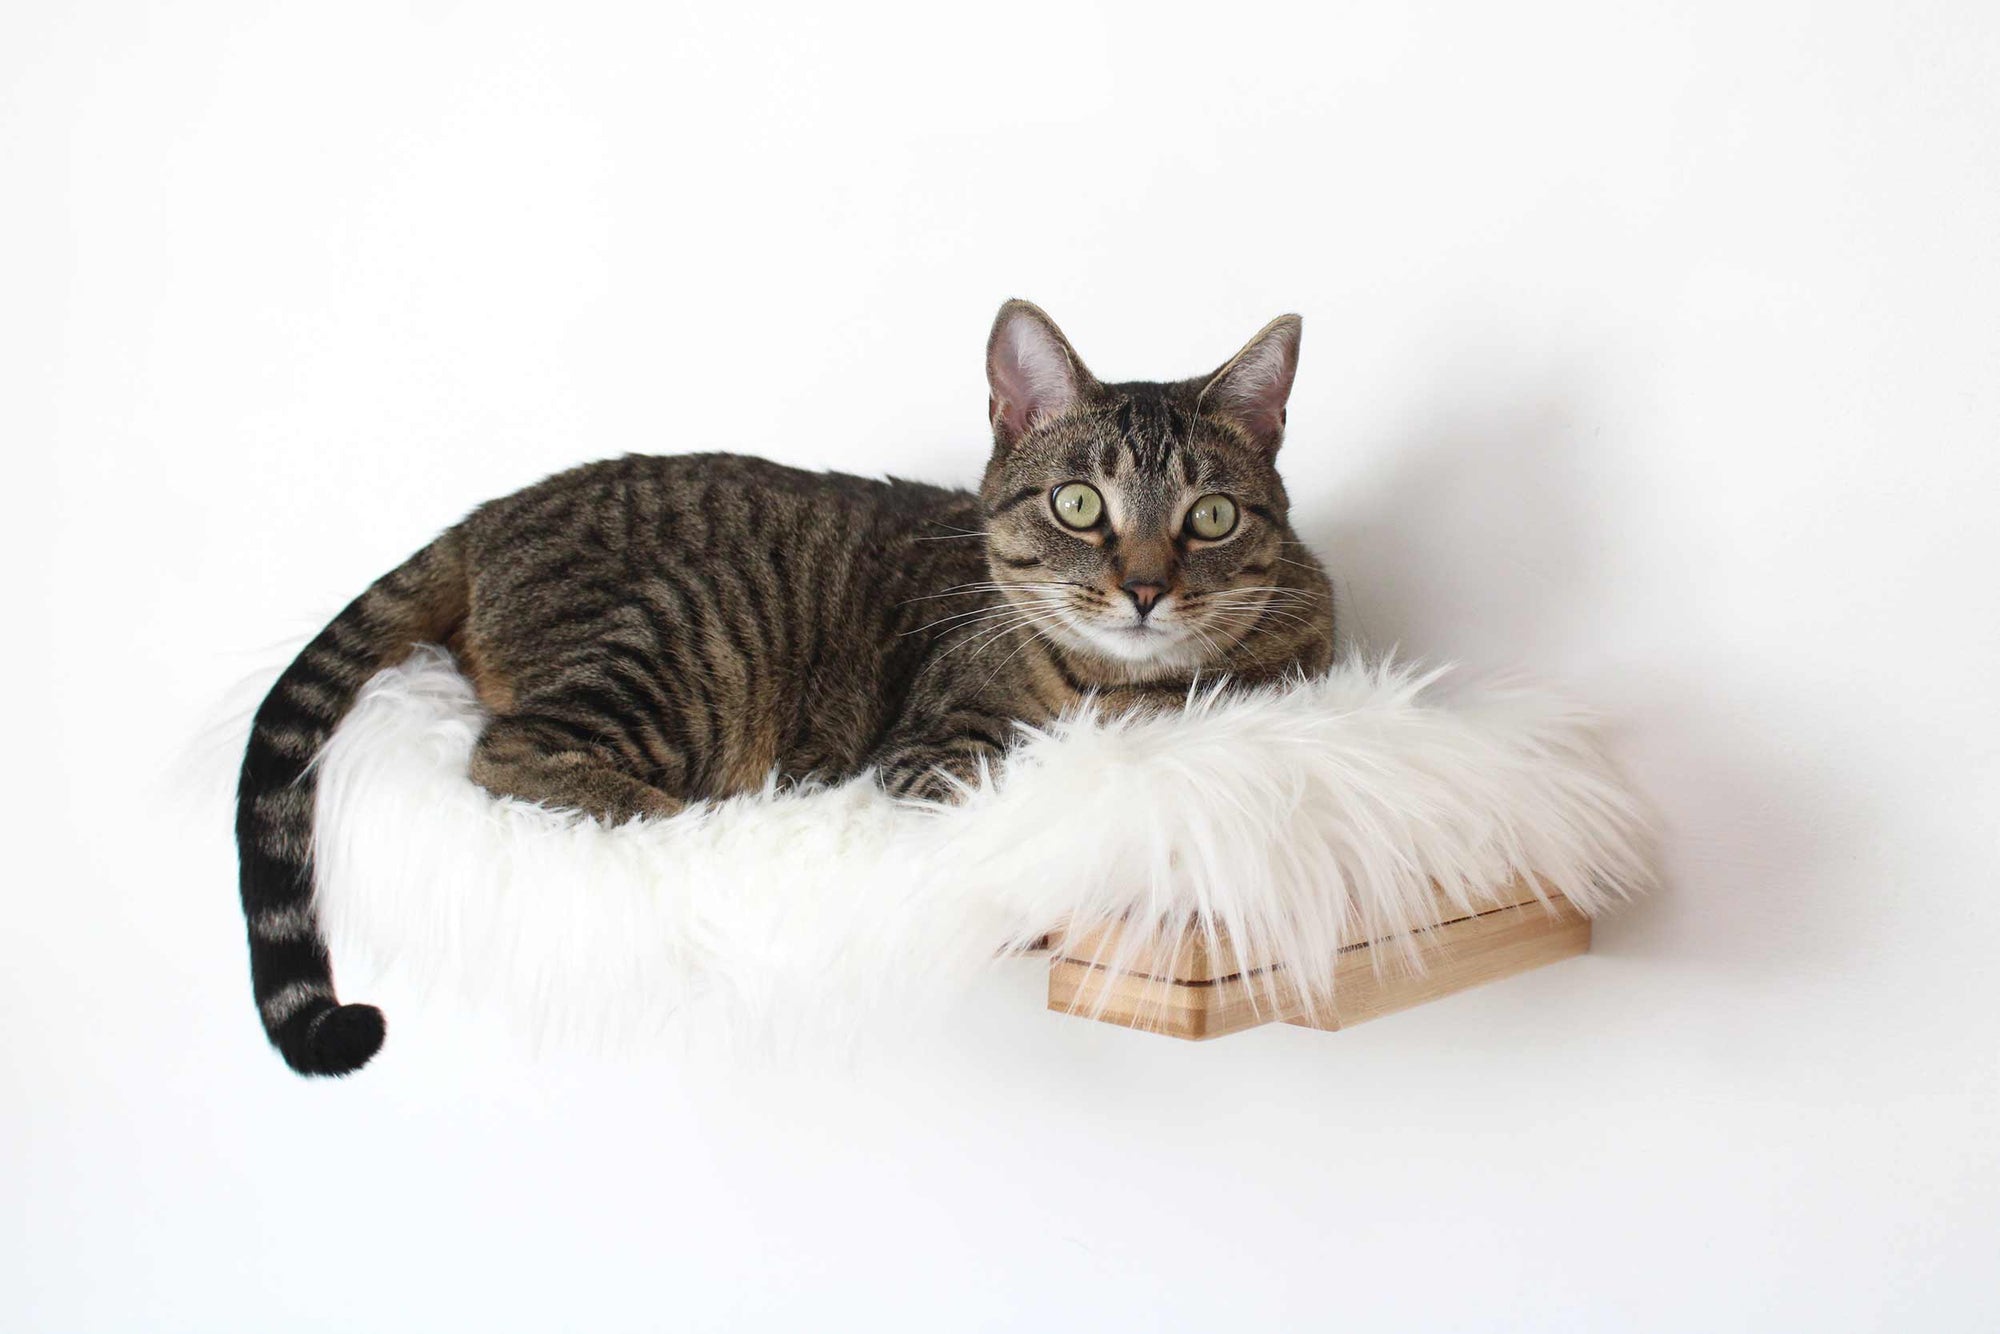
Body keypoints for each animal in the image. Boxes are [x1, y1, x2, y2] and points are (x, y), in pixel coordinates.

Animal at [238, 300, 1328, 1072]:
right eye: (1077, 504)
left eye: (1212, 516)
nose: (1144, 587)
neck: (1129, 685)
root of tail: (491, 512)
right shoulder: (934, 745)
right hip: (682, 654)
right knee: (508, 751)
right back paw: (669, 814)